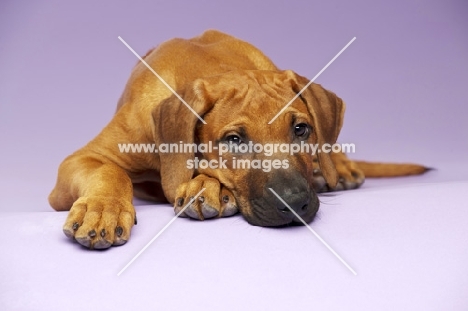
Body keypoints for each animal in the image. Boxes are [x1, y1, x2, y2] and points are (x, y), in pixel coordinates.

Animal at [48, 28, 428, 249]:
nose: (295, 203)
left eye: (301, 130)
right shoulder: (83, 159)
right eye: (233, 140)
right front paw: (103, 210)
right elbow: (109, 171)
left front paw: (206, 185)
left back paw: (338, 167)